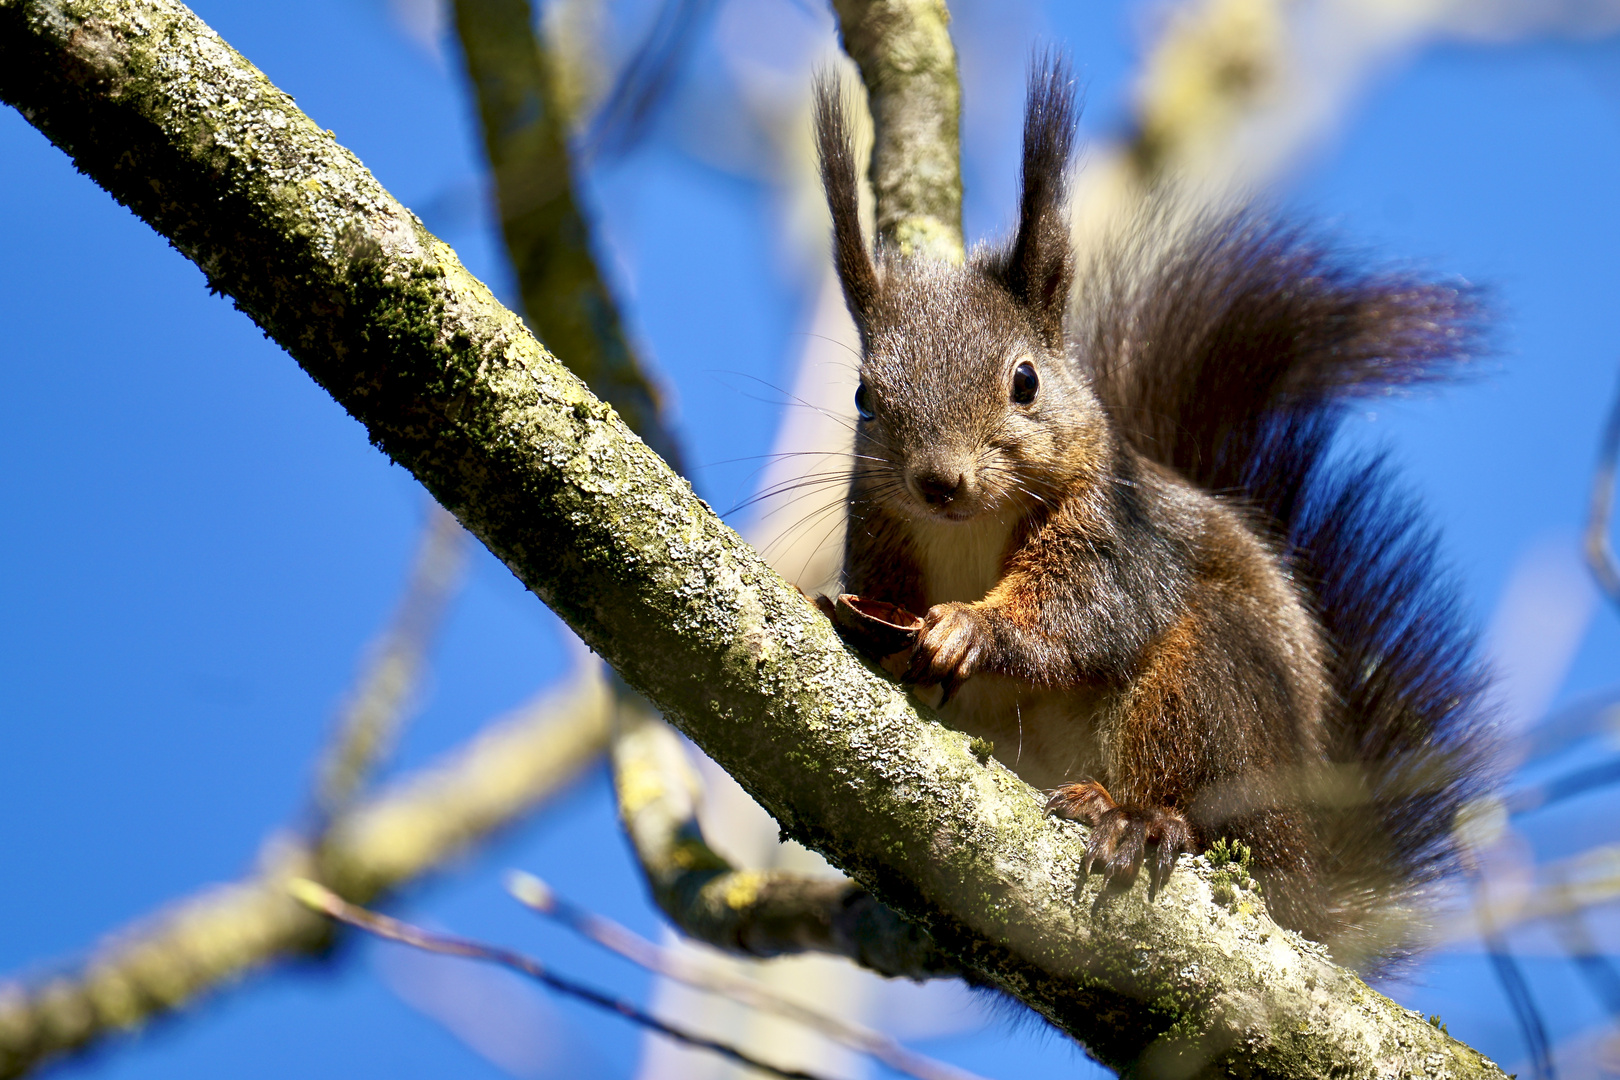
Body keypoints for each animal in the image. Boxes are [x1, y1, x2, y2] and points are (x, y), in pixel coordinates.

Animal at [816, 61, 1496, 971]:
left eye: (1025, 381)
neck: (967, 535)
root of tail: (1309, 885)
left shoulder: (1117, 537)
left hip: (1211, 688)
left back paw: (1139, 820)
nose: (939, 483)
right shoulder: (880, 538)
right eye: (863, 396)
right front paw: (859, 621)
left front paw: (973, 629)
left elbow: (1083, 615)